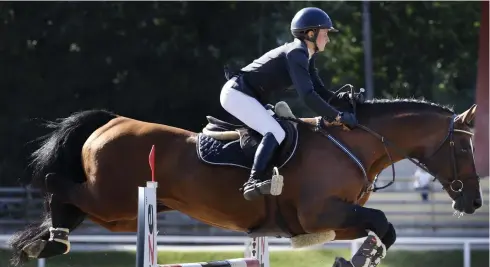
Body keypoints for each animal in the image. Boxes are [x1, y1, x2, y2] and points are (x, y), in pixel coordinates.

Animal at [6, 98, 482, 267]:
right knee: (57, 183)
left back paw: (45, 242)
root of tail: (112, 121)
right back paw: (47, 242)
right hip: (115, 200)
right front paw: (355, 260)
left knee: (70, 202)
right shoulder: (322, 212)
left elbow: (384, 227)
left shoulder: (330, 220)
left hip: (120, 214)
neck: (355, 144)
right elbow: (383, 221)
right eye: (463, 148)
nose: (475, 203)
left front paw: (361, 257)